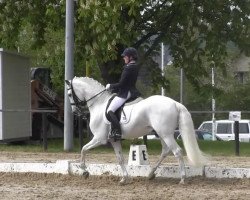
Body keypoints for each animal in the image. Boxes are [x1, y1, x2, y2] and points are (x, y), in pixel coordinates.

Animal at [65, 76, 206, 184]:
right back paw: (151, 174)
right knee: (165, 151)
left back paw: (182, 179)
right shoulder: (114, 140)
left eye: (70, 94)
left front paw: (84, 171)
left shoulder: (99, 139)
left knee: (177, 151)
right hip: (162, 134)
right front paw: (124, 179)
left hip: (166, 134)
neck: (99, 104)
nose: (75, 112)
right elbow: (120, 158)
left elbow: (83, 149)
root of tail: (175, 103)